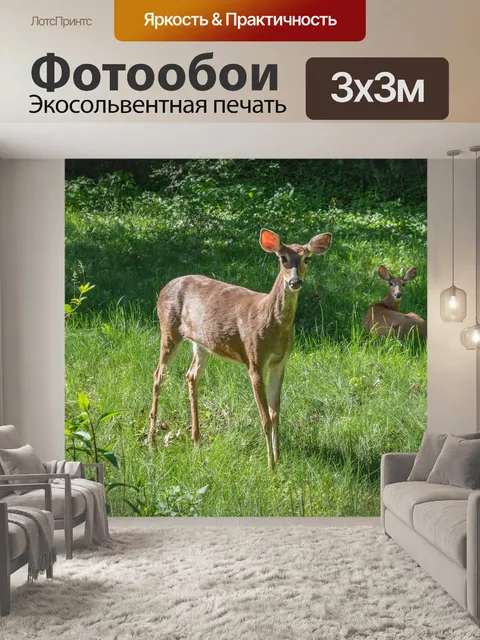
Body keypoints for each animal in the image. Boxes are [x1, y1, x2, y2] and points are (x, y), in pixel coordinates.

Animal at [148, 228, 332, 471]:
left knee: (191, 375)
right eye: (282, 258)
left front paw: (278, 458)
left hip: (202, 343)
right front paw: (270, 466)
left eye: (307, 259)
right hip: (168, 329)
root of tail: (163, 288)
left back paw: (196, 439)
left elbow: (275, 412)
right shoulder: (255, 359)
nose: (295, 282)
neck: (271, 321)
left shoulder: (280, 362)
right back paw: (151, 442)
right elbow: (265, 418)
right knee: (158, 375)